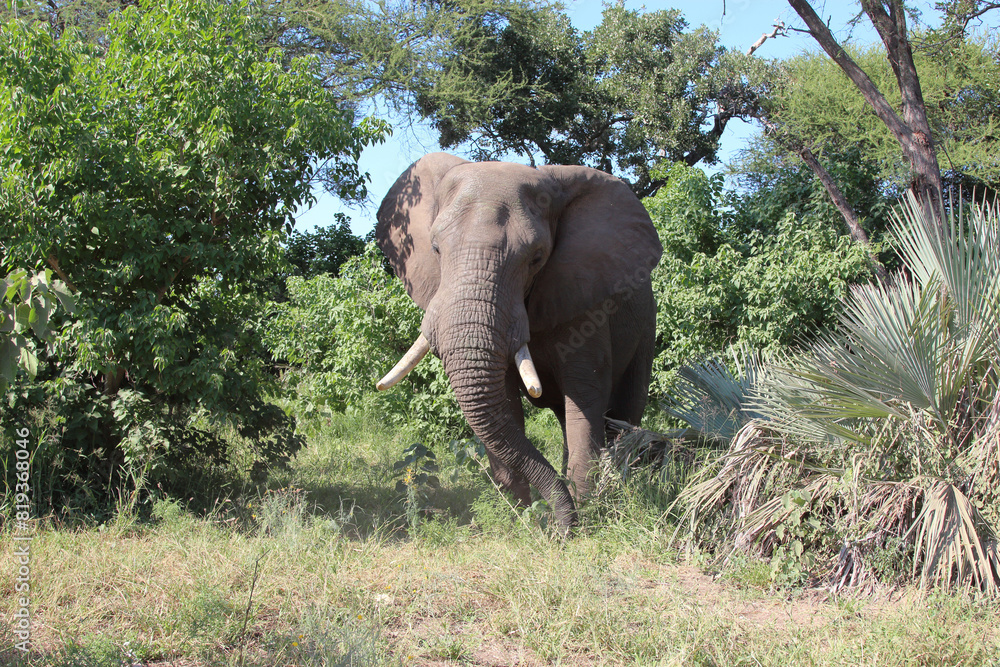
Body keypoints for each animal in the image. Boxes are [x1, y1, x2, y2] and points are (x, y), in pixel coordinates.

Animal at [374, 152, 662, 531]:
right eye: (435, 249)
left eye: (536, 258)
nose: (560, 530)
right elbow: (506, 402)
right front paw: (521, 515)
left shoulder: (586, 300)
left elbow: (586, 395)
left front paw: (587, 512)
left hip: (646, 324)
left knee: (624, 411)